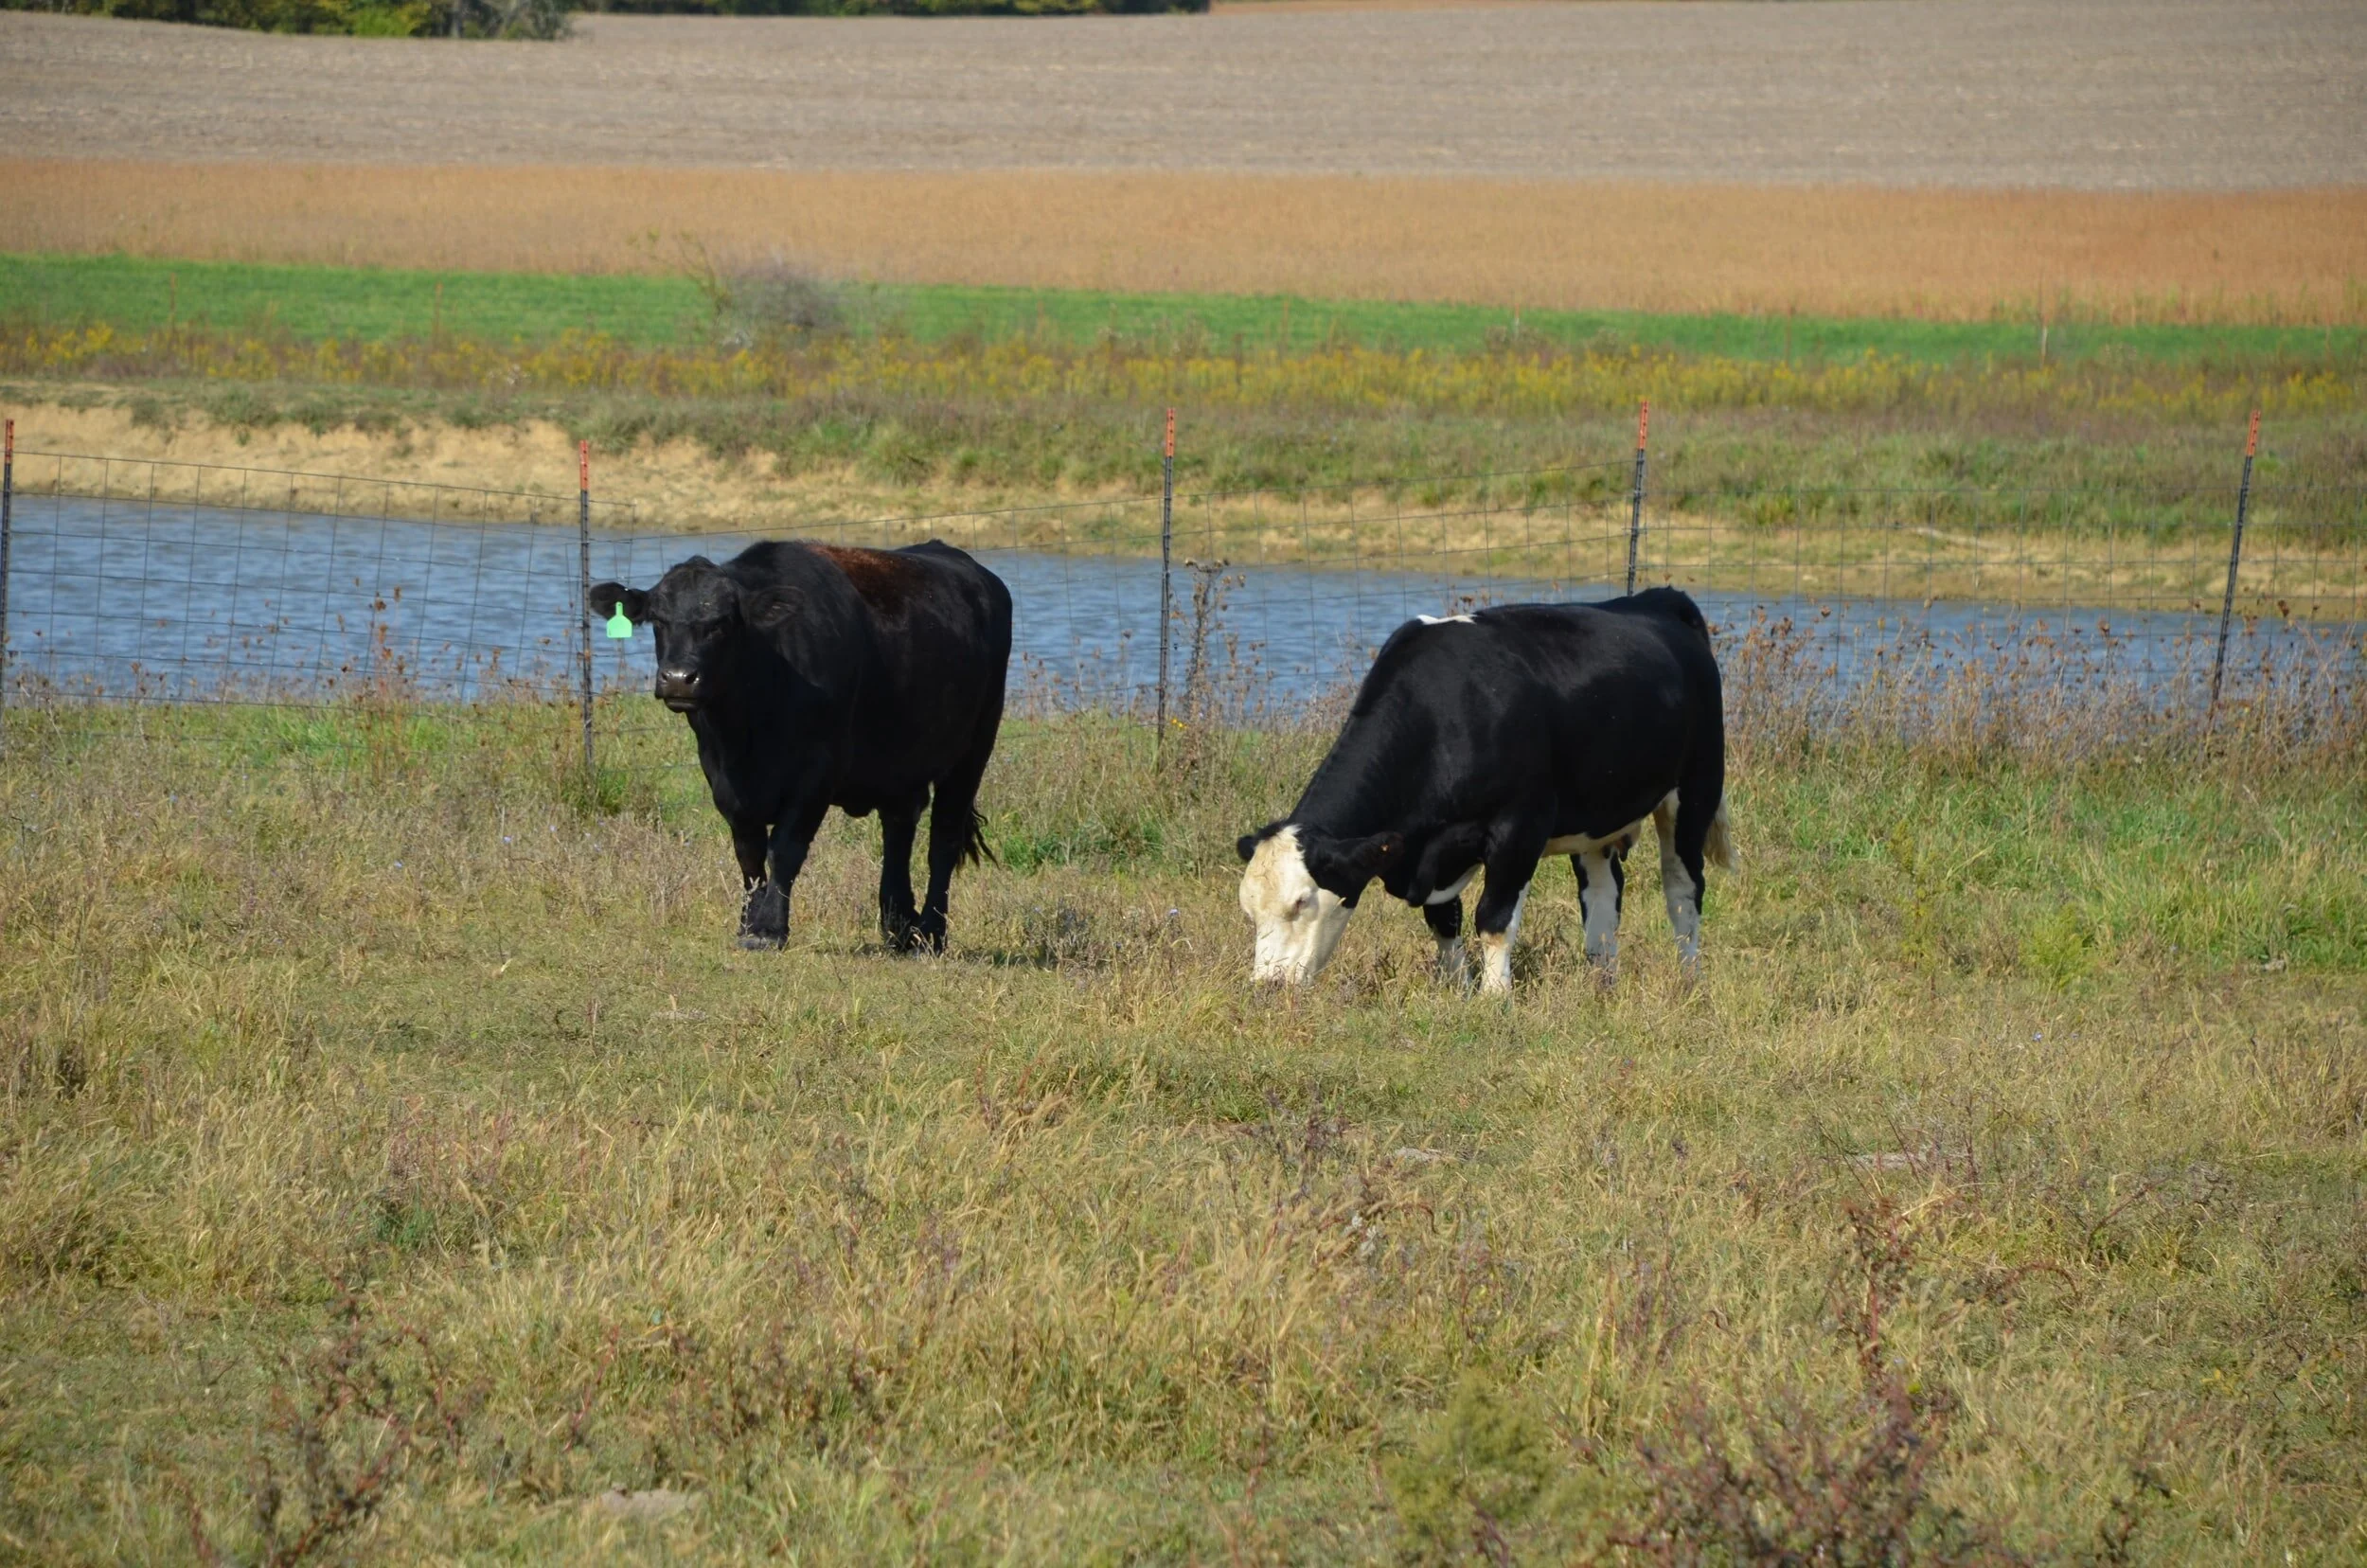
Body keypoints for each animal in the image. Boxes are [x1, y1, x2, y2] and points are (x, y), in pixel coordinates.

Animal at [591, 539, 1010, 954]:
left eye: (722, 623)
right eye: (658, 620)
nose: (679, 678)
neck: (745, 731)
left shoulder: (817, 773)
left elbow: (784, 848)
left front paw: (769, 929)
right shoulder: (721, 776)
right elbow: (749, 852)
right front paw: (747, 925)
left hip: (974, 749)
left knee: (943, 839)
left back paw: (931, 934)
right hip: (901, 764)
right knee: (899, 831)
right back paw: (900, 929)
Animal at [1235, 588, 1732, 995]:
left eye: (1301, 902)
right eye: (1249, 911)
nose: (1268, 987)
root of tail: (1659, 599)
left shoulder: (1520, 827)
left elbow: (1493, 919)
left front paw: (1495, 998)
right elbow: (1443, 920)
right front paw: (1459, 988)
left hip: (1696, 791)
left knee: (1683, 888)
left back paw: (1689, 979)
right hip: (1599, 814)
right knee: (1603, 893)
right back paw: (1600, 980)